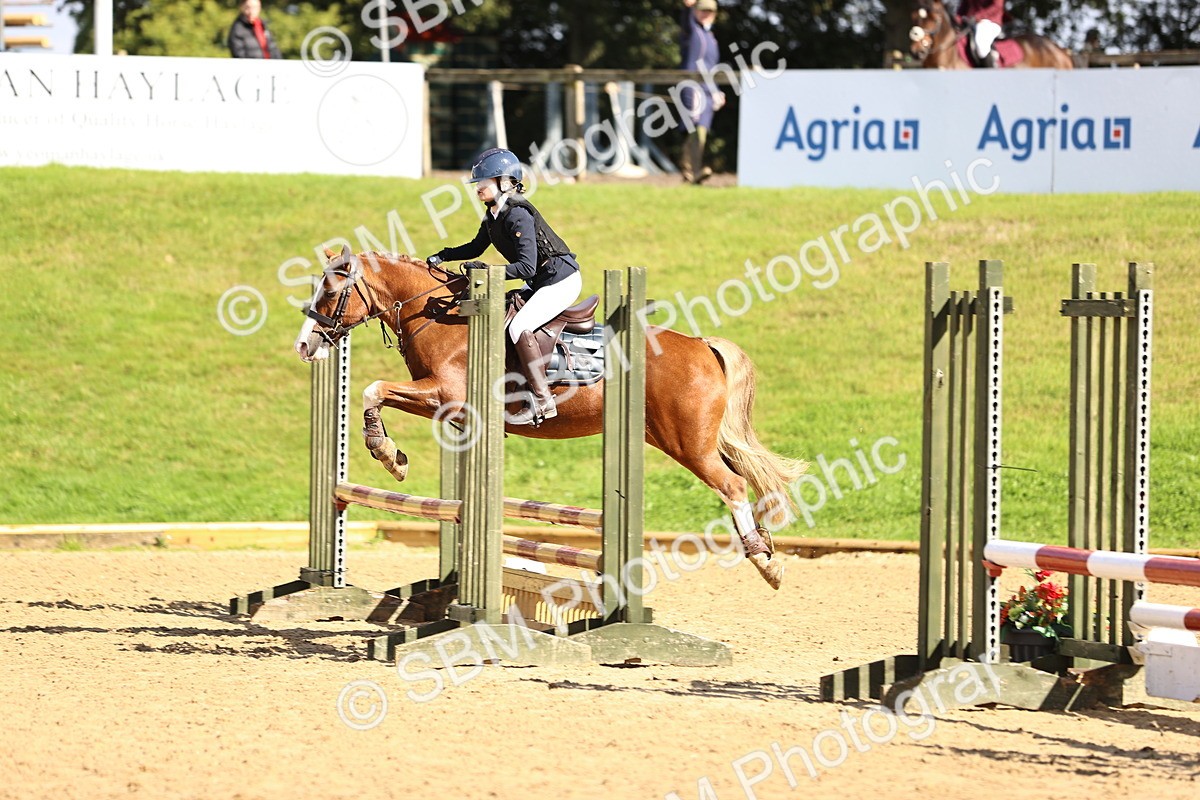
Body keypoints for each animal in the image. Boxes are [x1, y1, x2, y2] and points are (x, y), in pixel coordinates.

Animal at [293, 250, 806, 589]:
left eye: (332, 290)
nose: (305, 345)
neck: (441, 316)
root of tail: (701, 345)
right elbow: (376, 394)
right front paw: (393, 455)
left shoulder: (447, 395)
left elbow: (374, 389)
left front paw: (386, 454)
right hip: (690, 439)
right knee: (746, 477)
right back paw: (766, 548)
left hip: (689, 445)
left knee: (733, 485)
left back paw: (766, 565)